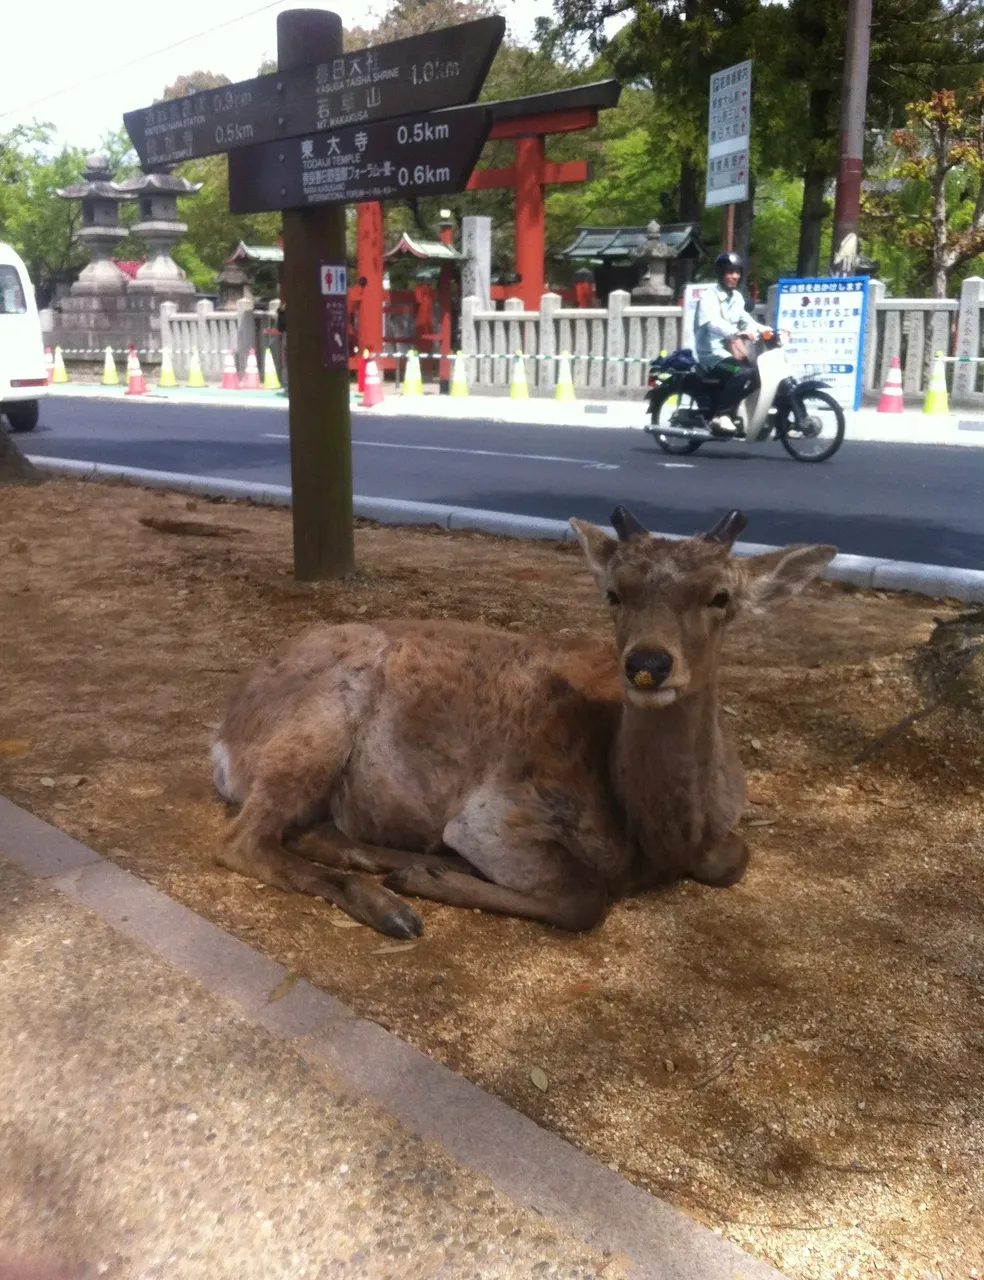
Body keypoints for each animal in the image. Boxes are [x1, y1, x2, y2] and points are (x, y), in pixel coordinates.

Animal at [210, 508, 837, 938]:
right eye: (613, 593)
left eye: (721, 596)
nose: (649, 663)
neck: (656, 831)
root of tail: (221, 737)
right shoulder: (497, 814)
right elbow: (585, 899)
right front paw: (426, 882)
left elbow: (735, 858)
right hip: (313, 730)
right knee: (244, 840)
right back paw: (394, 905)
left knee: (311, 832)